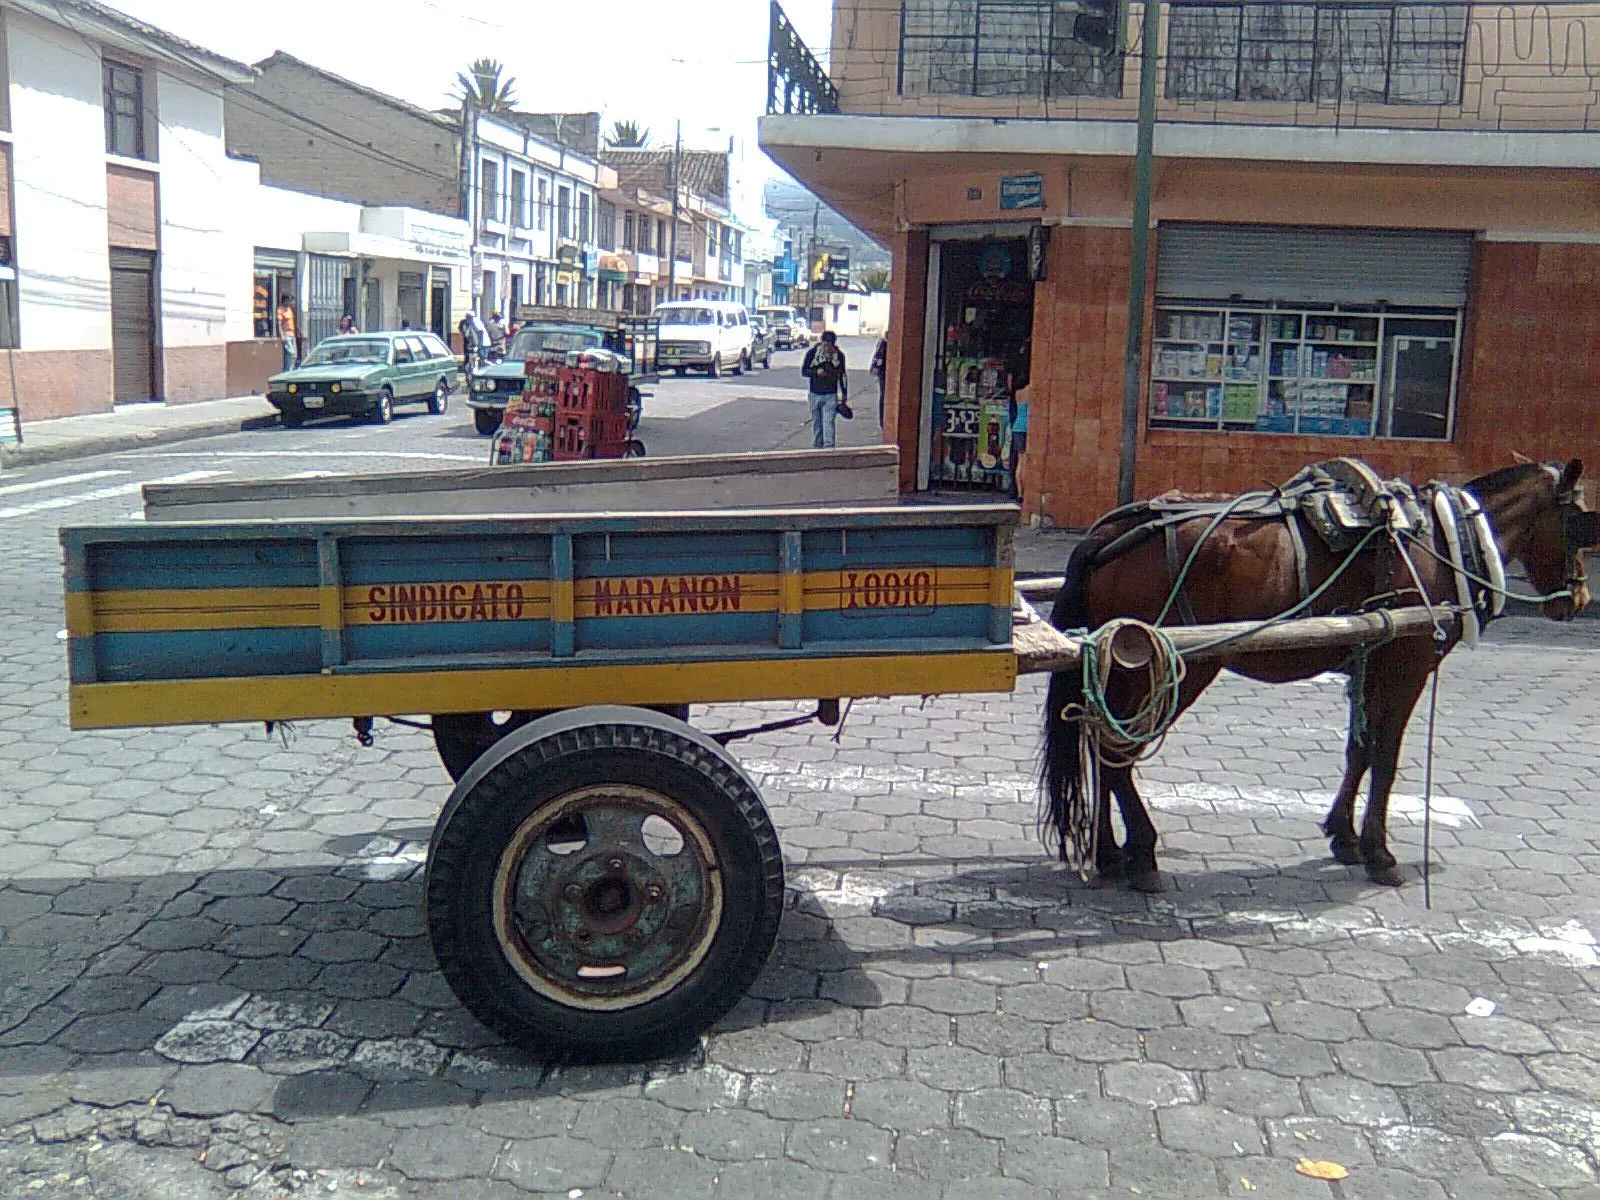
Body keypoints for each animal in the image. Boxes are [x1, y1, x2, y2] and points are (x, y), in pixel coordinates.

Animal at [1043, 460, 1593, 896]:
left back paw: (1109, 852)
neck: (1442, 539)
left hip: (1121, 667)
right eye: (1580, 524)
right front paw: (1380, 854)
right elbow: (1386, 760)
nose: (1579, 600)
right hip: (1177, 666)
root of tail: (1107, 536)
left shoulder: (1367, 664)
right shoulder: (1405, 667)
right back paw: (1141, 853)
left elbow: (1360, 752)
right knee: (1117, 753)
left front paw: (1344, 836)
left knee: (1099, 740)